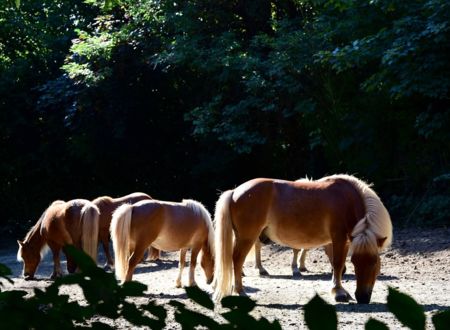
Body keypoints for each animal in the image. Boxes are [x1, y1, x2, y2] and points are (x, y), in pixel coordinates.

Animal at [213, 175, 392, 304]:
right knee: (237, 260)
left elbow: (339, 265)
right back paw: (241, 291)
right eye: (356, 262)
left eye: (374, 262)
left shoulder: (346, 241)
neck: (347, 200)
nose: (362, 298)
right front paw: (338, 292)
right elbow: (338, 264)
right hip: (247, 238)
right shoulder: (338, 239)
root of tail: (235, 192)